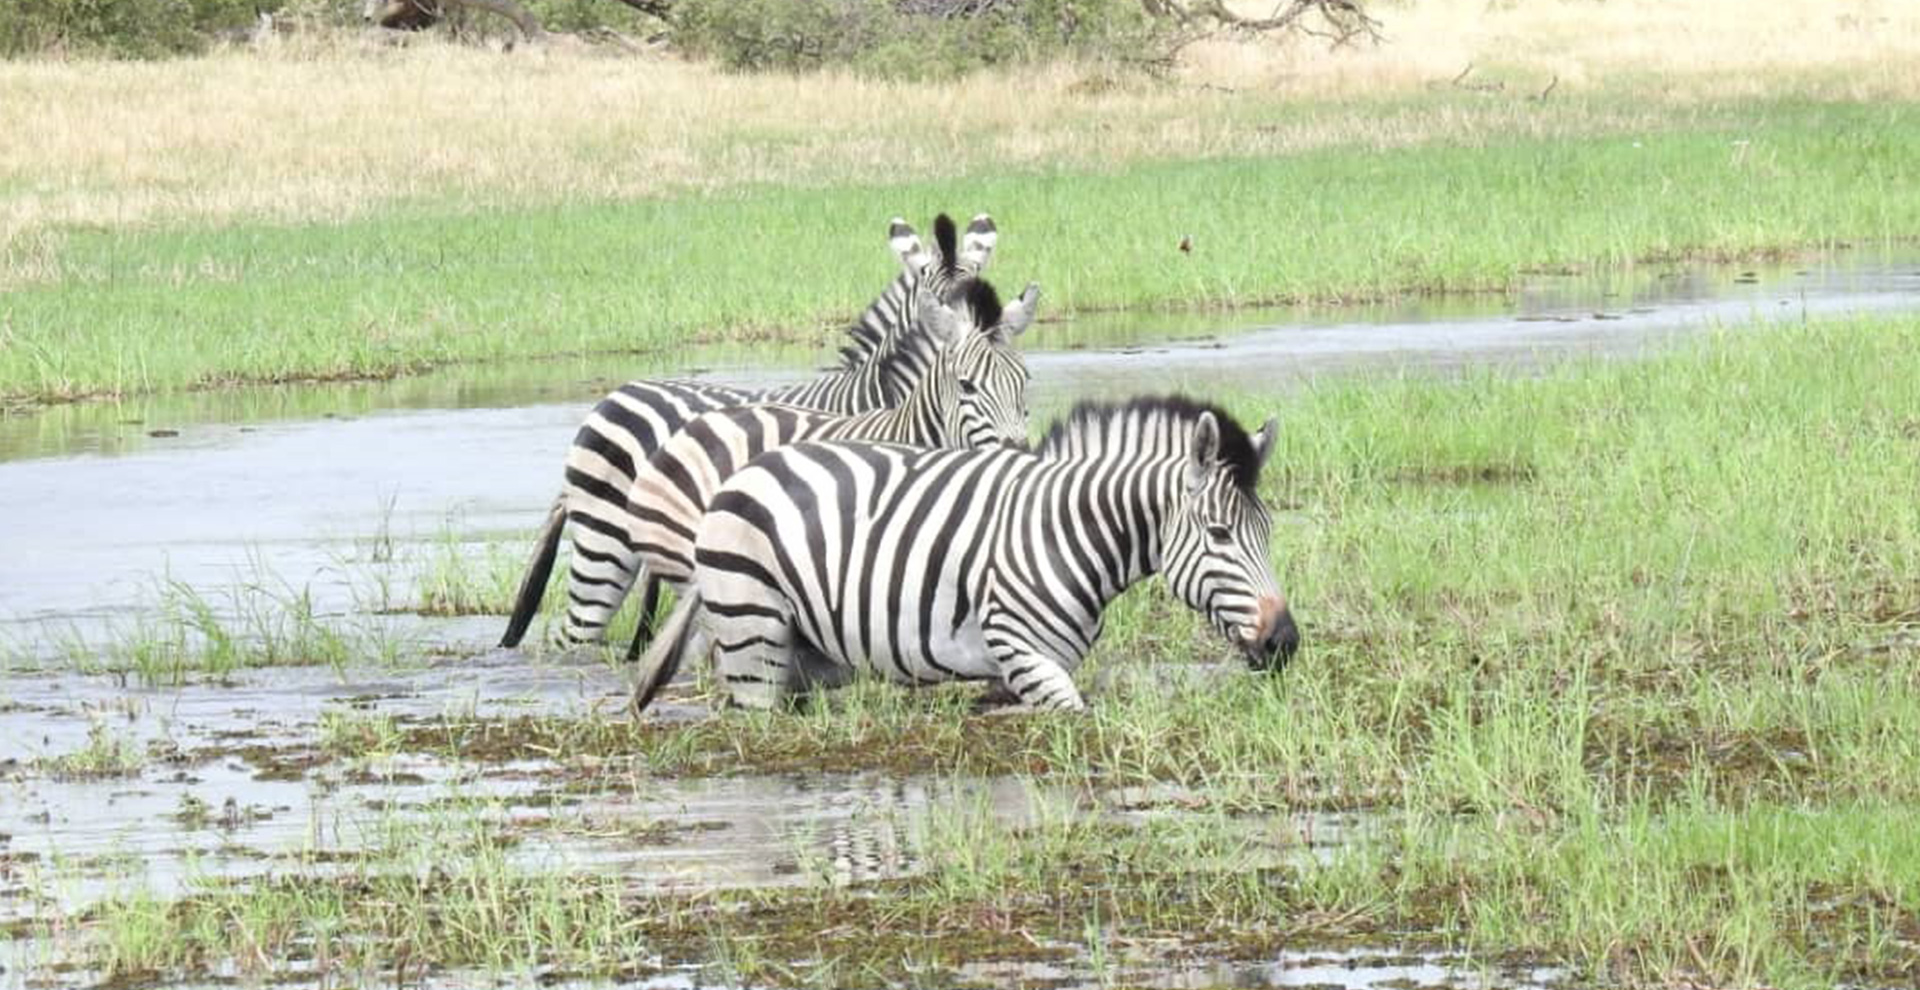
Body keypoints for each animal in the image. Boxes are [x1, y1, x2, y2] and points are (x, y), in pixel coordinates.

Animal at [629, 395, 1301, 714]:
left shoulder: (1016, 674)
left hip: (801, 660)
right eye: (1219, 534)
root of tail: (736, 479)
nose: (1284, 642)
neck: (1067, 531)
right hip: (756, 643)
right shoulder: (1024, 655)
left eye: (1268, 532)